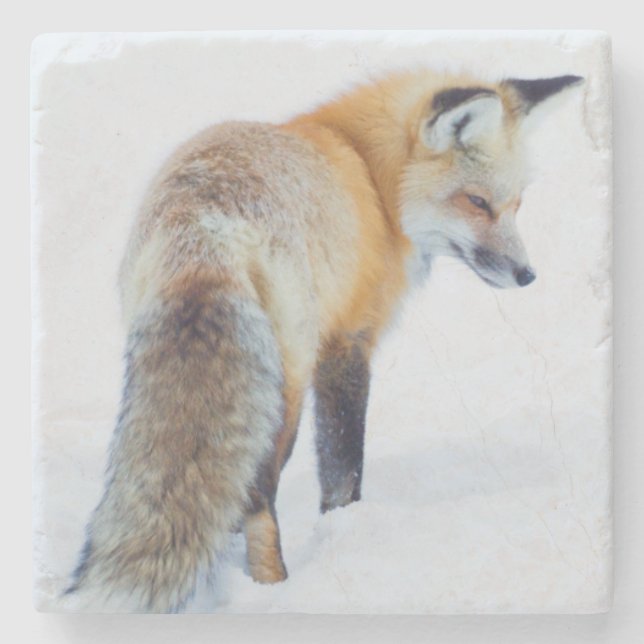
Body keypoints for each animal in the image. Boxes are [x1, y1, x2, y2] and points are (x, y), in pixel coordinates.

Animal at [65, 68, 582, 612]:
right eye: (477, 202)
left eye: (517, 204)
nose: (527, 275)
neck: (370, 176)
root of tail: (204, 229)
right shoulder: (346, 340)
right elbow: (342, 466)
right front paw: (345, 528)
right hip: (285, 388)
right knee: (258, 496)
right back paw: (272, 585)